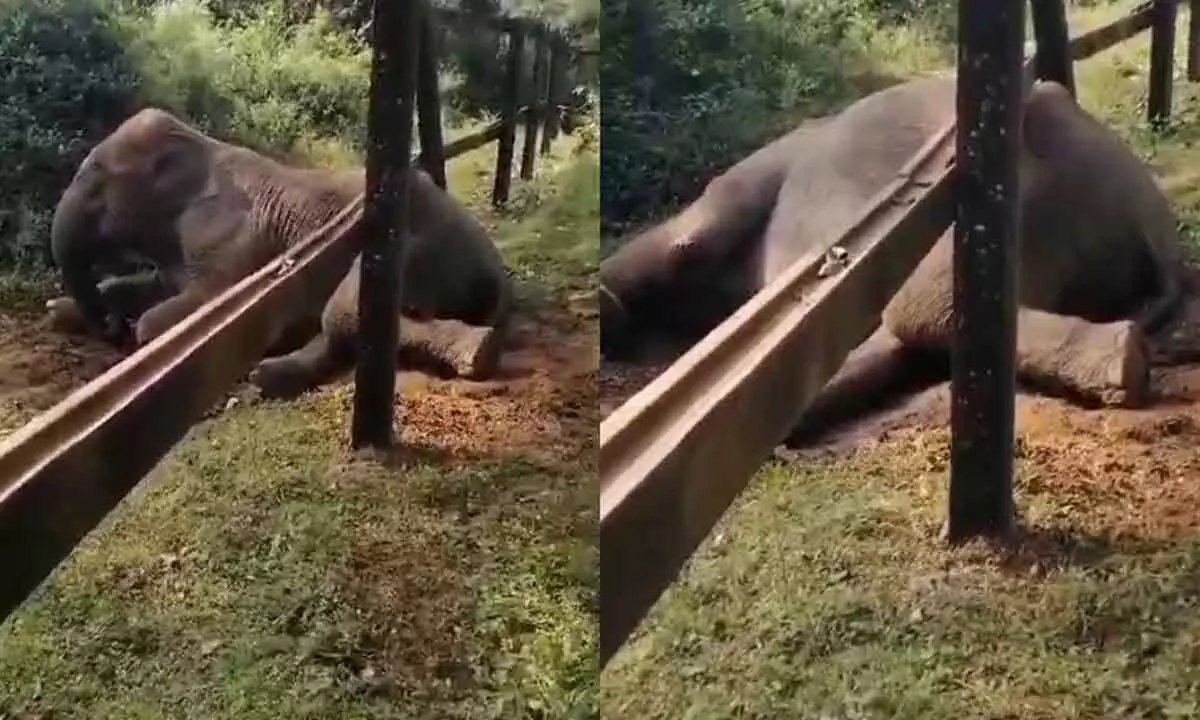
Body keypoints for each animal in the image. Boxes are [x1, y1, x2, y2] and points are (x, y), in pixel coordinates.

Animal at [42, 108, 508, 398]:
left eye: (94, 177)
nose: (109, 328)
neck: (198, 146)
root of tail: (495, 269)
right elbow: (149, 284)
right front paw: (61, 310)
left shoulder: (226, 233)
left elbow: (190, 307)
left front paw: (137, 331)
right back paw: (269, 375)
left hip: (420, 249)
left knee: (344, 312)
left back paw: (479, 352)